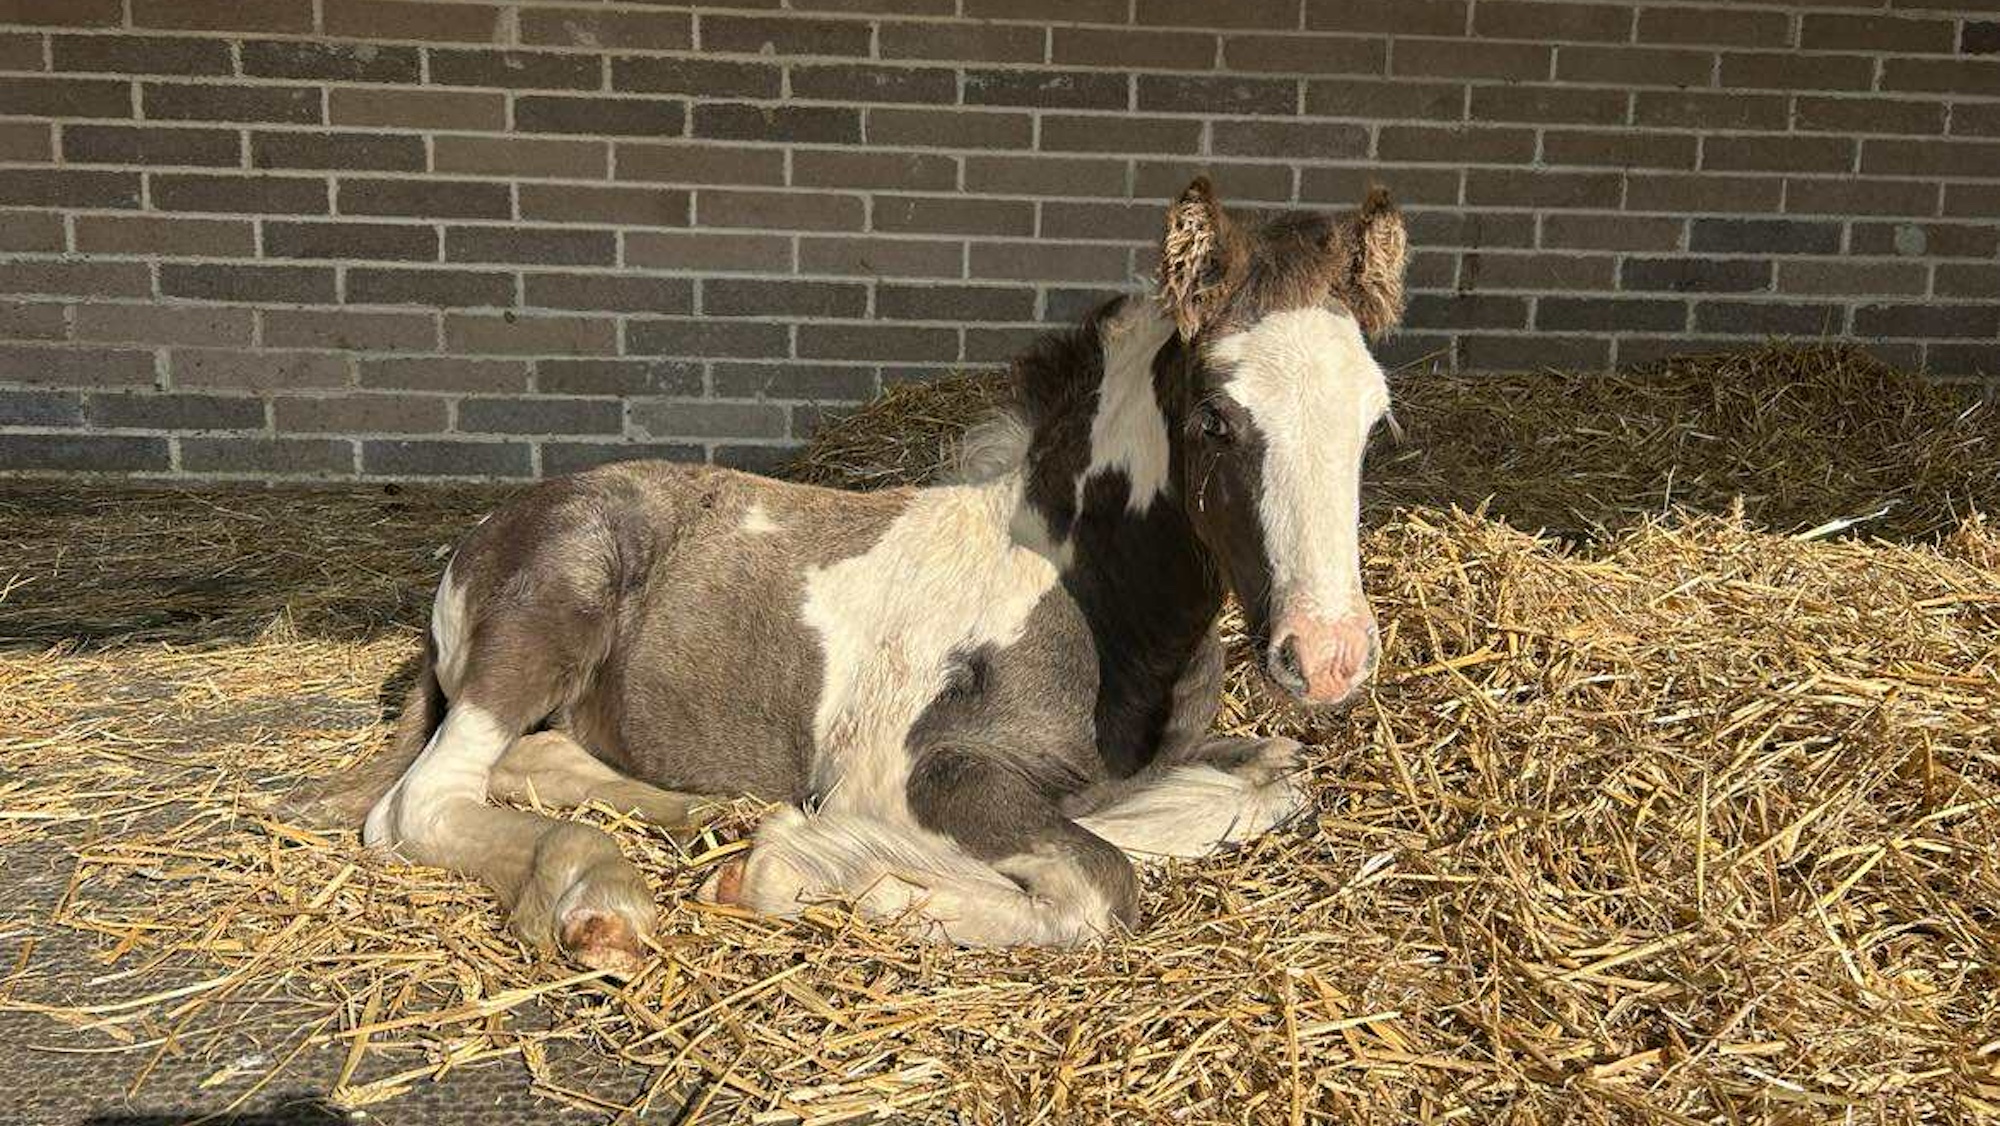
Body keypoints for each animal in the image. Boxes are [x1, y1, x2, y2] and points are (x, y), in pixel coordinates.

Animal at [281, 178, 1409, 977]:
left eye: (1374, 421)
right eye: (1215, 419)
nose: (1328, 657)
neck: (1098, 604)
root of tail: (481, 533)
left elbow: (1266, 783)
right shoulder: (922, 770)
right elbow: (1102, 880)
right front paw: (852, 877)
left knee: (534, 759)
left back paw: (696, 821)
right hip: (551, 606)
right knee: (421, 803)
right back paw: (607, 896)